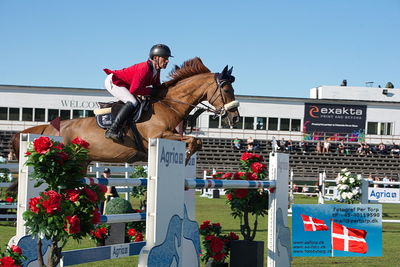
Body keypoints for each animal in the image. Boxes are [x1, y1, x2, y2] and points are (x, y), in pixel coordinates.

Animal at [10, 57, 239, 164]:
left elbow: (197, 140)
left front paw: (188, 157)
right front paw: (187, 156)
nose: (235, 118)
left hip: (82, 161)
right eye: (227, 89)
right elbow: (193, 140)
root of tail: (47, 129)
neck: (168, 105)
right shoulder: (158, 136)